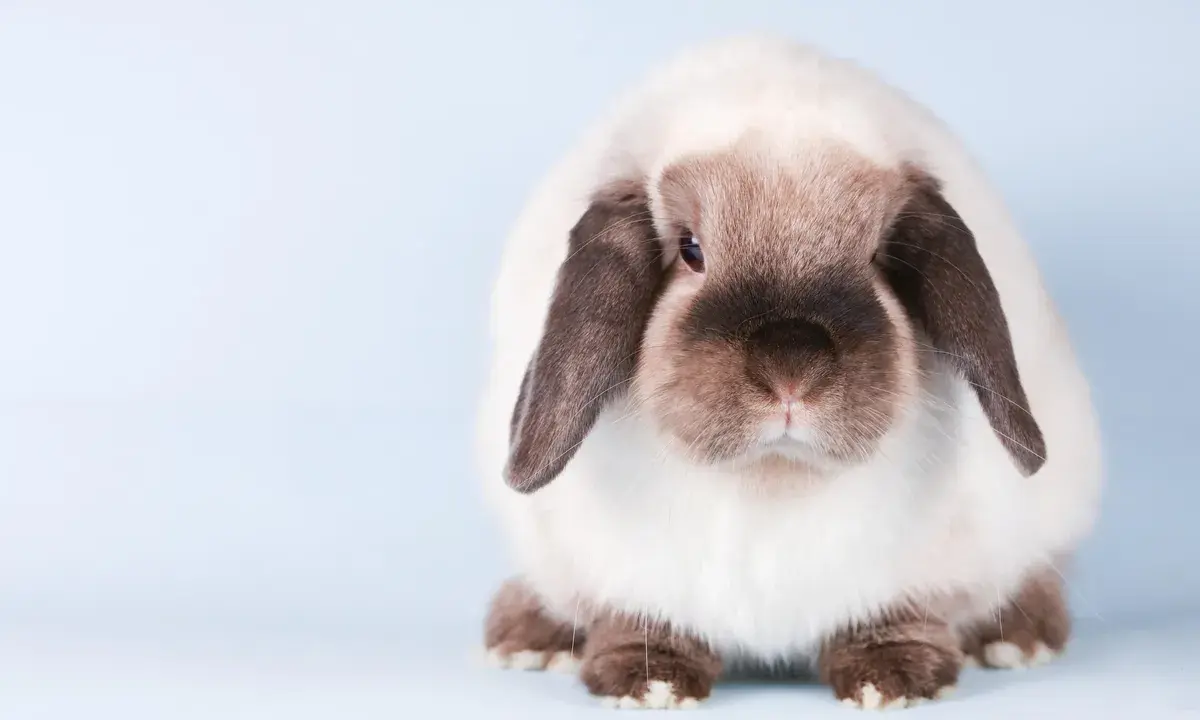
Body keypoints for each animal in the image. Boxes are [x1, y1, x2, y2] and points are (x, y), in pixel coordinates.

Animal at [475, 35, 1102, 710]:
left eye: (879, 256)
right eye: (690, 250)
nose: (791, 369)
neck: (771, 481)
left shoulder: (914, 577)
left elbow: (900, 618)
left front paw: (891, 679)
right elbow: (637, 622)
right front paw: (648, 682)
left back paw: (1021, 638)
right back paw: (524, 638)